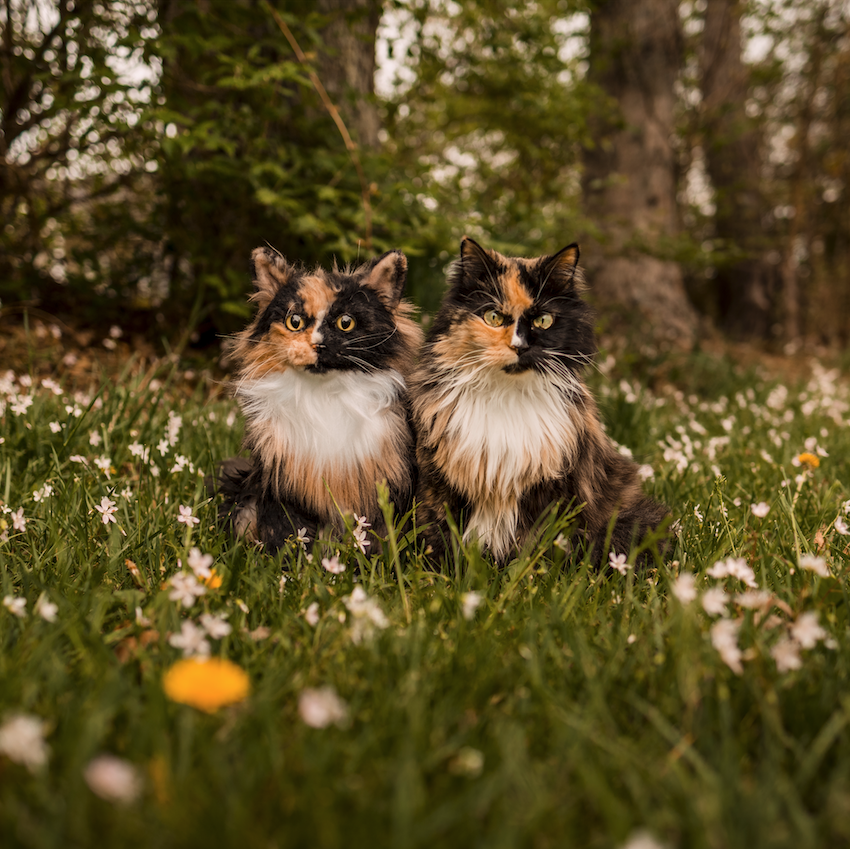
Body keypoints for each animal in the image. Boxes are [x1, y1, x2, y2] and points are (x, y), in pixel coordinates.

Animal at [215, 245, 420, 552]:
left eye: (346, 323)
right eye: (294, 322)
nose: (317, 344)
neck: (324, 394)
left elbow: (375, 539)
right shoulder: (281, 483)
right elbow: (286, 533)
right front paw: (290, 562)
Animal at [408, 238, 664, 568]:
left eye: (543, 320)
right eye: (493, 317)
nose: (520, 346)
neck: (505, 397)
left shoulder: (552, 491)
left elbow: (536, 548)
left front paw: (523, 573)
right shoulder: (439, 482)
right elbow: (440, 539)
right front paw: (443, 572)